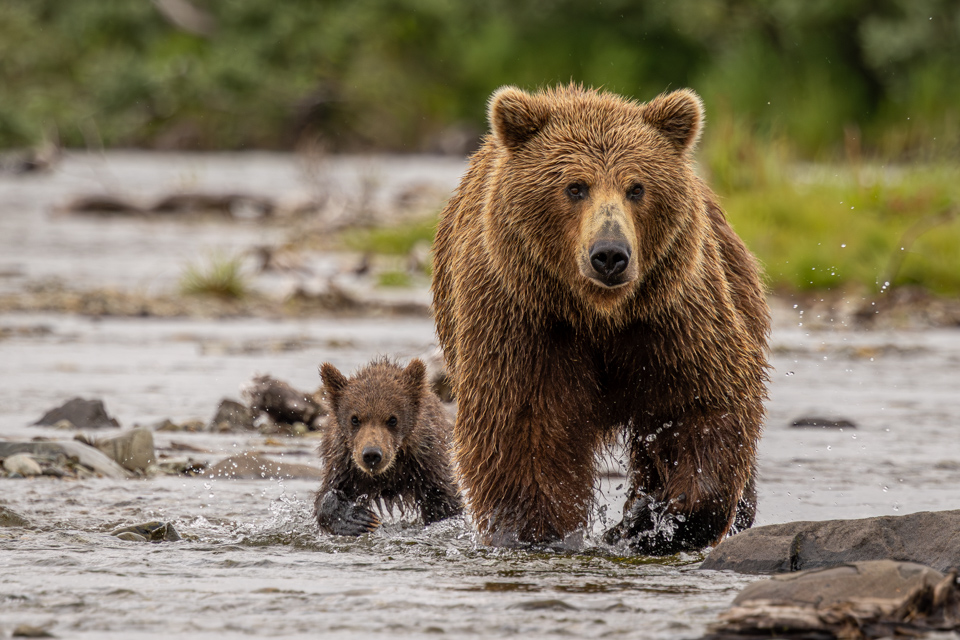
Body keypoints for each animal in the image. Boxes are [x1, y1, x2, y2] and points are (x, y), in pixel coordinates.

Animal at [314, 358, 463, 536]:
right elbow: (327, 494)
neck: (389, 473)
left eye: (393, 419)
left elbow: (444, 500)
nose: (371, 454)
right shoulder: (344, 464)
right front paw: (358, 519)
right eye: (354, 419)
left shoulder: (426, 462)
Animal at [431, 84, 770, 555]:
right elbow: (523, 428)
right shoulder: (524, 319)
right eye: (575, 187)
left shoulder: (670, 315)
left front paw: (660, 524)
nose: (610, 254)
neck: (597, 314)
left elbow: (701, 404)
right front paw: (537, 531)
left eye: (637, 187)